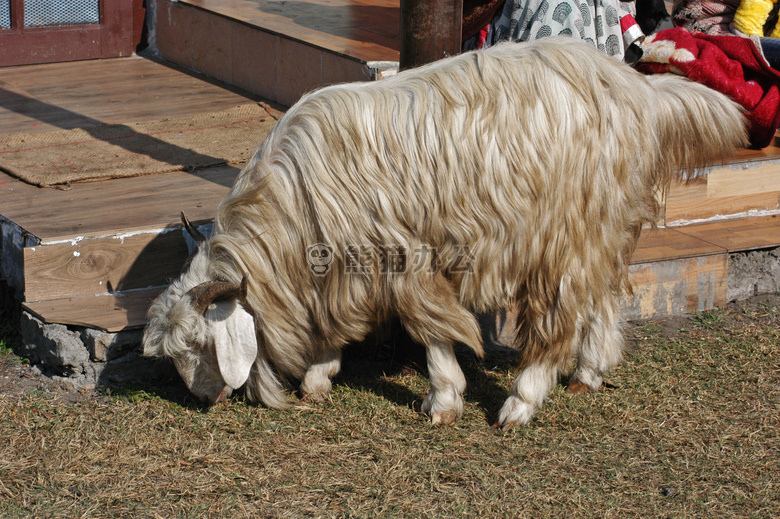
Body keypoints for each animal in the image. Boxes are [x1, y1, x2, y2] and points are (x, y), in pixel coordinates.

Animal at [143, 35, 748, 426]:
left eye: (199, 344)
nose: (205, 402)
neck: (293, 204)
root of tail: (639, 91)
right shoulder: (346, 269)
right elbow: (344, 325)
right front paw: (319, 376)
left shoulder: (402, 258)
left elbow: (431, 328)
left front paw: (444, 400)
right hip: (597, 223)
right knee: (597, 294)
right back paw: (589, 372)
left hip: (559, 231)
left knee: (558, 319)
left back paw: (521, 403)